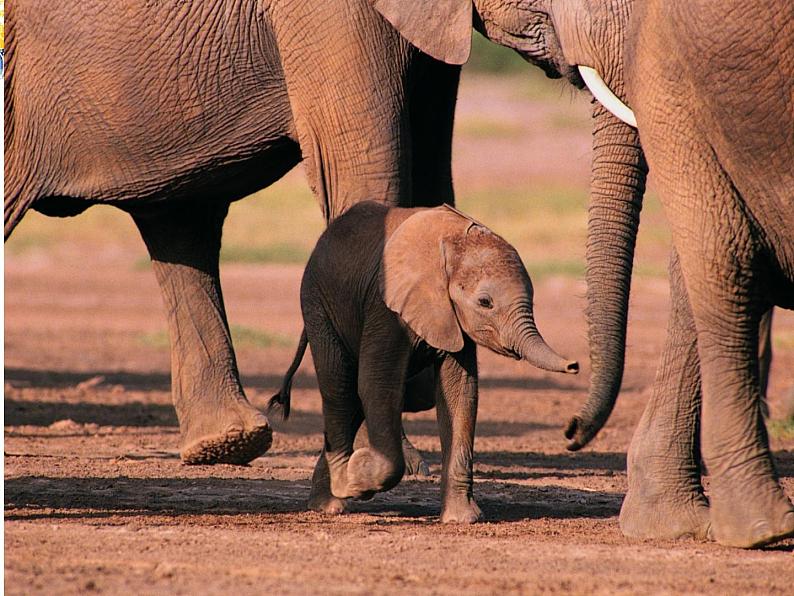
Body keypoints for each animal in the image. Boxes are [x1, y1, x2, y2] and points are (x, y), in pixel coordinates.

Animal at [4, 2, 644, 470]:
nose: (571, 429)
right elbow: (366, 174)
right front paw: (403, 462)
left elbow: (433, 173)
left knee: (179, 218)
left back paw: (227, 444)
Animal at [272, 201, 576, 520]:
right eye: (485, 302)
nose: (574, 366)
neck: (452, 245)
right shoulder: (385, 305)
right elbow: (377, 385)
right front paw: (358, 478)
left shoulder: (451, 316)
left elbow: (460, 394)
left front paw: (463, 520)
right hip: (318, 305)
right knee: (341, 388)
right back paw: (340, 493)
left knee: (352, 400)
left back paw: (327, 498)